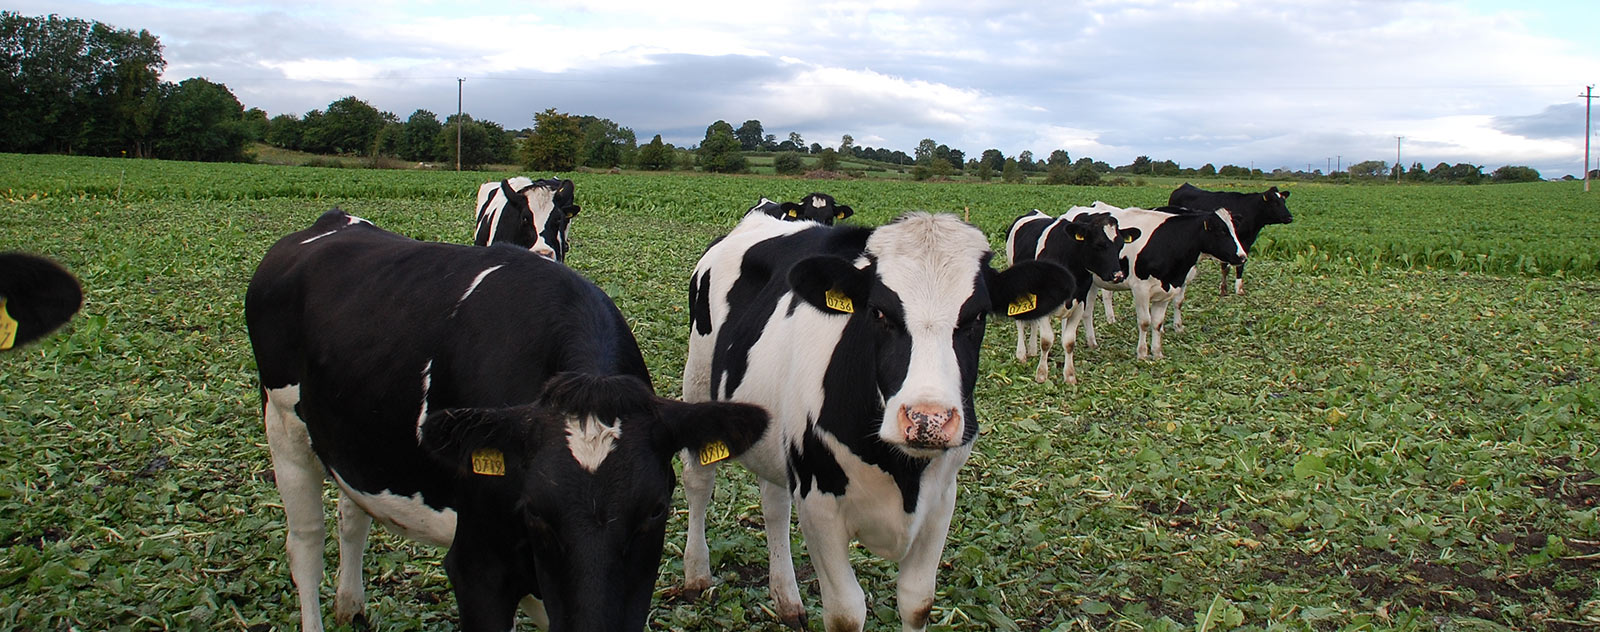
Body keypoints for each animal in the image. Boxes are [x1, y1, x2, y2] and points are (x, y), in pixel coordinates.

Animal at [246, 211, 771, 632]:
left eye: (657, 509)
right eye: (535, 510)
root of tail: (329, 222)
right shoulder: (478, 565)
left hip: (352, 439)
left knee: (351, 514)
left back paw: (351, 605)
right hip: (283, 426)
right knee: (305, 543)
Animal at [678, 209, 1068, 630]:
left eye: (977, 317)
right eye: (879, 312)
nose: (927, 419)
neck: (902, 473)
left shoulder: (941, 500)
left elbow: (917, 602)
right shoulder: (819, 503)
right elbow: (846, 613)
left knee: (775, 504)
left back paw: (786, 599)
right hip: (697, 381)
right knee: (699, 481)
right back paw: (696, 575)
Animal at [998, 209, 1139, 384]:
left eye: (1120, 245)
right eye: (1098, 244)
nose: (1118, 275)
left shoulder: (1080, 302)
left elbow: (1069, 341)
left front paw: (1070, 376)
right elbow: (1046, 340)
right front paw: (1042, 374)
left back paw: (1032, 350)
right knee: (1020, 322)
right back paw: (1021, 353)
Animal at [1062, 203, 1248, 361]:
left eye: (1234, 229)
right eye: (1221, 231)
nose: (1242, 256)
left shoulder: (1171, 287)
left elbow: (1159, 321)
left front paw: (1157, 352)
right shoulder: (1141, 289)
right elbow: (1145, 322)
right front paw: (1142, 354)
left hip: (1093, 282)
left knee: (1088, 312)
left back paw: (1092, 342)